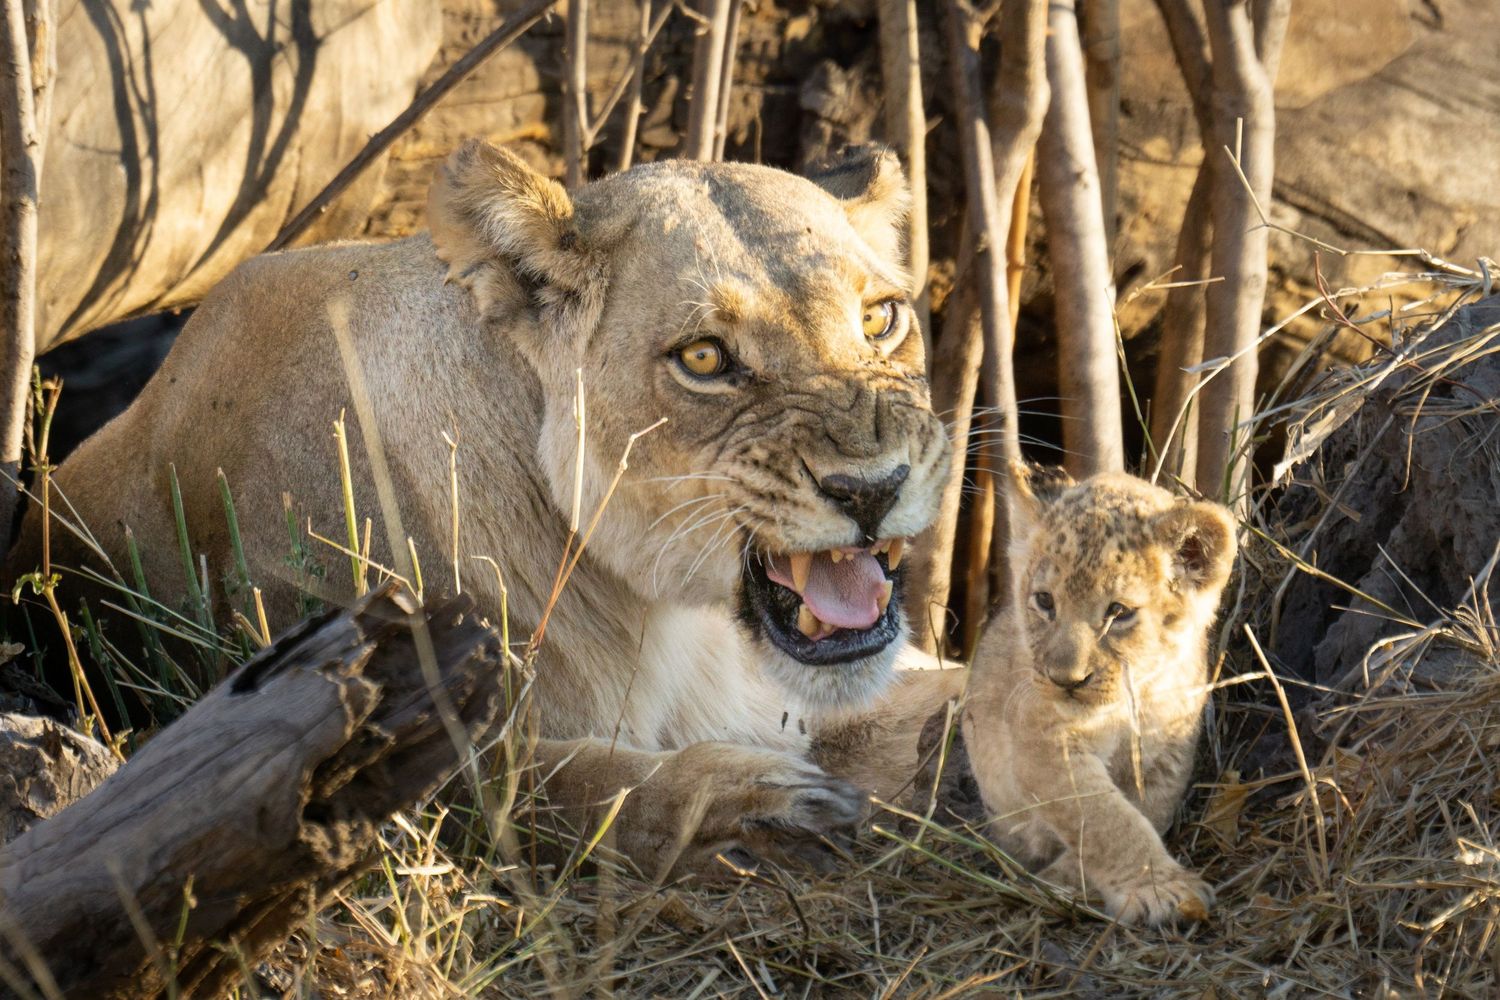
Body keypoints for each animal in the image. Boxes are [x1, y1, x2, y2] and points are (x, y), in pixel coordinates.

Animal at [8, 140, 964, 874]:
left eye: (880, 320)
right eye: (704, 358)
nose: (872, 486)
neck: (671, 615)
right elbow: (557, 784)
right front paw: (764, 802)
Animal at [960, 464, 1237, 924]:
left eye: (1119, 612)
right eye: (1044, 601)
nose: (1065, 680)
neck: (1136, 699)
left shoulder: (1169, 753)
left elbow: (1146, 812)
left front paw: (1073, 880)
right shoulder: (1043, 744)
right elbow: (1105, 820)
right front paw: (1161, 889)